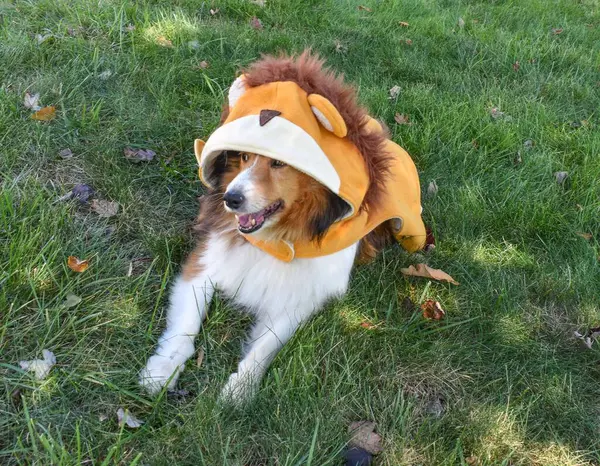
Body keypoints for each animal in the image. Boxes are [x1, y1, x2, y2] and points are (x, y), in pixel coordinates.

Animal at [139, 51, 426, 402]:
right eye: (244, 157)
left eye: (278, 163)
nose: (231, 199)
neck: (275, 239)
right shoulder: (203, 266)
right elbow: (185, 326)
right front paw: (161, 370)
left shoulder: (299, 300)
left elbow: (265, 347)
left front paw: (240, 389)